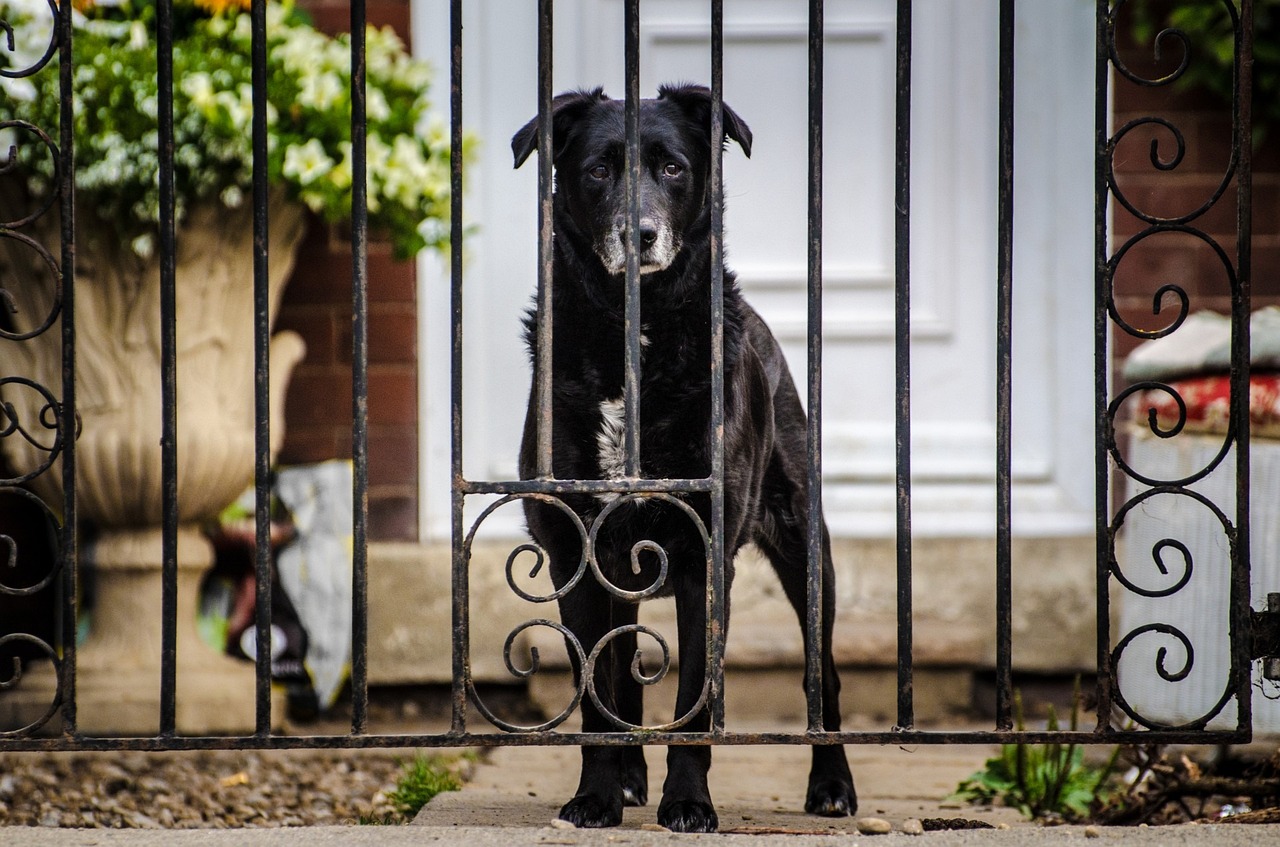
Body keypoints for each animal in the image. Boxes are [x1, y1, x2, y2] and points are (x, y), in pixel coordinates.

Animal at [512, 84, 860, 834]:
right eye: (597, 171)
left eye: (672, 168)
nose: (638, 234)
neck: (635, 335)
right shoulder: (575, 556)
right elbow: (601, 694)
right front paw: (597, 796)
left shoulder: (706, 560)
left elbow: (695, 699)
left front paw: (690, 802)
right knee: (623, 670)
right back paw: (628, 780)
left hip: (806, 549)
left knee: (824, 673)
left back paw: (832, 783)